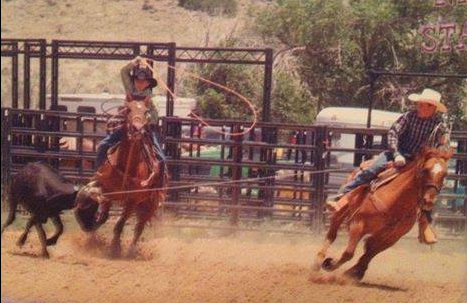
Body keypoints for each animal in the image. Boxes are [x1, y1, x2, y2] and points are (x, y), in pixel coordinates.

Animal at [73, 100, 168, 258]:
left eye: (146, 112)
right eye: (128, 110)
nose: (137, 130)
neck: (126, 166)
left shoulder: (132, 200)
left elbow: (119, 223)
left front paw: (114, 248)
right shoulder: (104, 188)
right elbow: (99, 210)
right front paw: (91, 236)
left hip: (149, 205)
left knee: (138, 228)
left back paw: (130, 251)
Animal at [314, 146, 454, 282]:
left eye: (445, 174)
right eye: (425, 169)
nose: (429, 200)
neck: (395, 201)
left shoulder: (392, 237)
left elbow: (369, 253)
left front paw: (353, 273)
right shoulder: (358, 224)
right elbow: (349, 252)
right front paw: (329, 264)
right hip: (340, 213)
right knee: (332, 235)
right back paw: (317, 264)